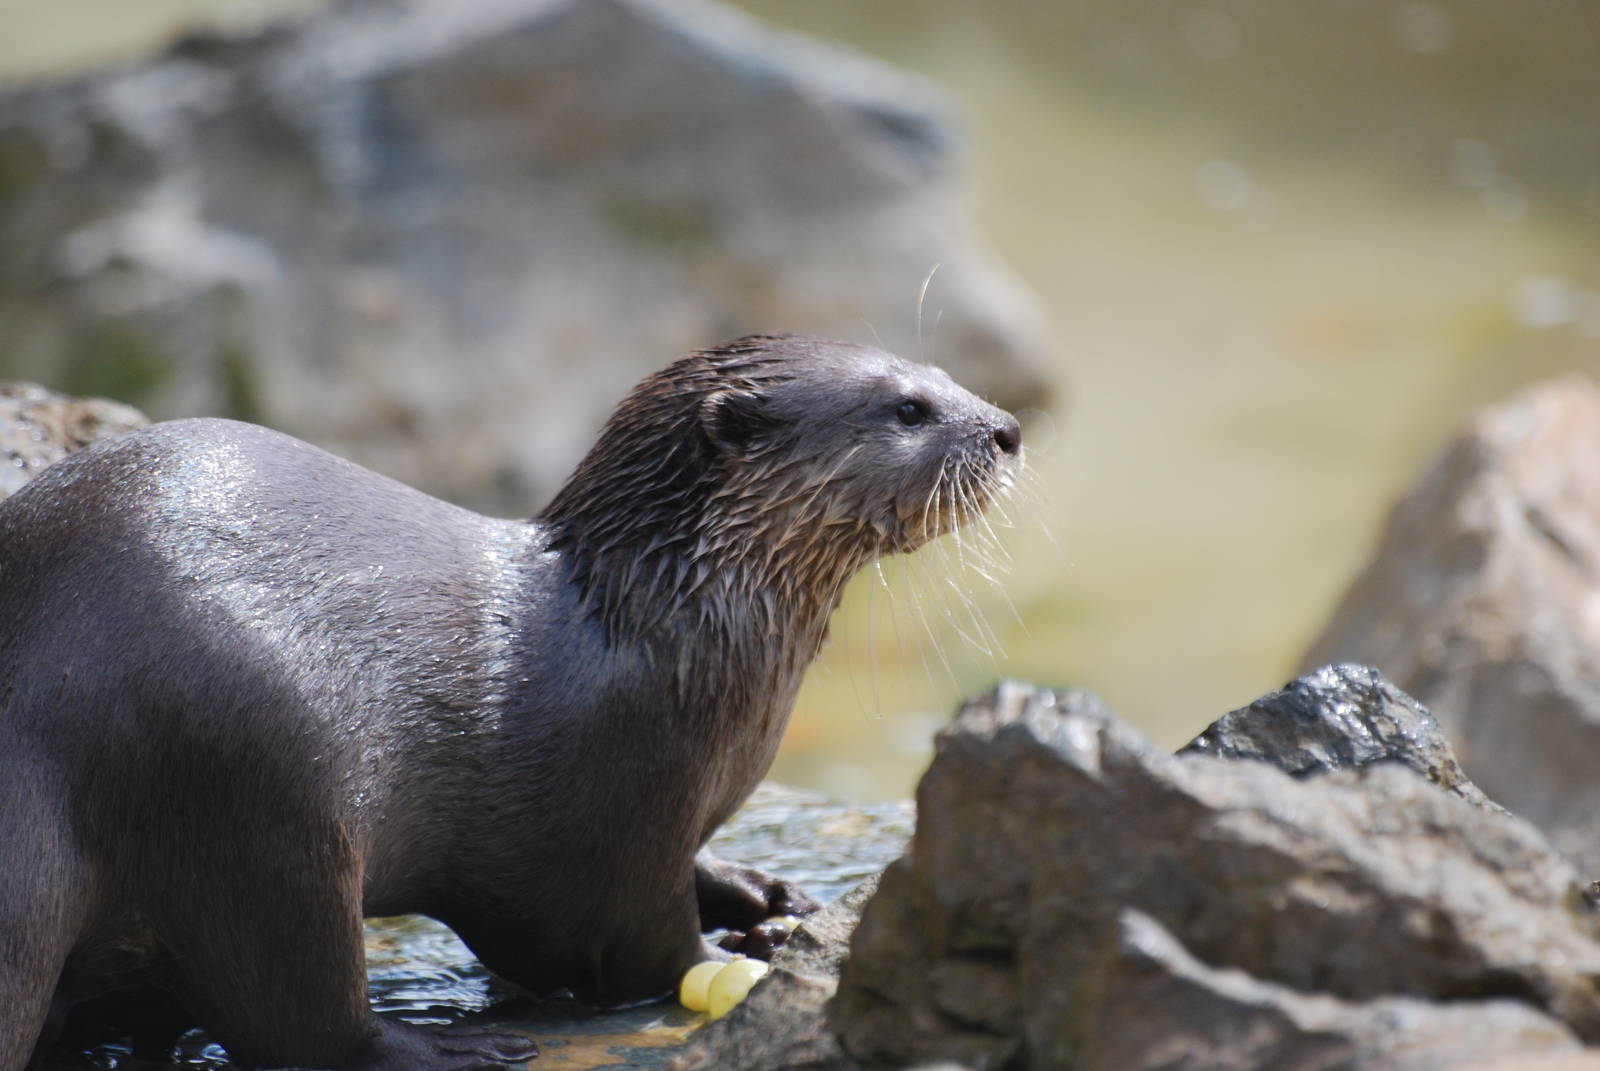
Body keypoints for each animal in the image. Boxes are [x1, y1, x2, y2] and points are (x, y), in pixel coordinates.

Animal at [0, 334, 1022, 1071]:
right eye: (907, 408)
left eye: (943, 373)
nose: (1008, 429)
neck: (666, 633)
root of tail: (32, 691)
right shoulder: (617, 822)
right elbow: (627, 943)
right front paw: (733, 961)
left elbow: (696, 863)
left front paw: (761, 888)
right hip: (260, 793)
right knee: (299, 1016)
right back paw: (456, 1045)